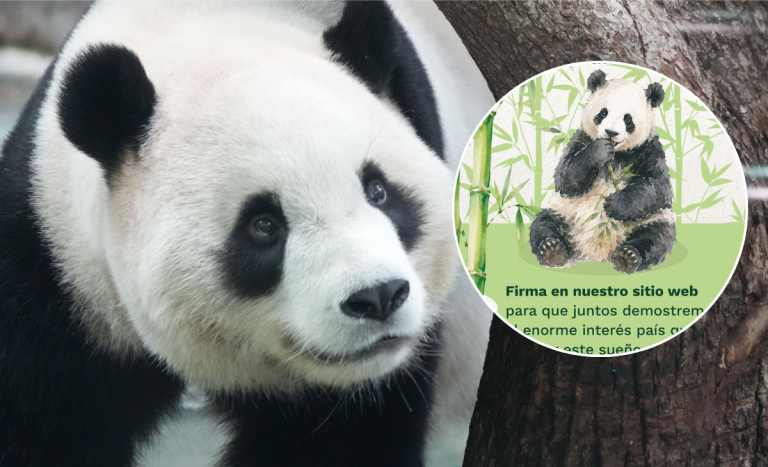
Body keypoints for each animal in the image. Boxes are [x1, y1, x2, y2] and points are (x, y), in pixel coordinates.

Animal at [529, 69, 676, 274]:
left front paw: (614, 204)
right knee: (544, 223)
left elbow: (658, 187)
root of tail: (595, 254)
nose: (611, 132)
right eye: (603, 112)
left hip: (649, 220)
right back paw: (552, 250)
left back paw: (628, 257)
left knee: (656, 236)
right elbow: (565, 177)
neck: (616, 153)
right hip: (565, 214)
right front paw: (598, 151)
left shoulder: (648, 149)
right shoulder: (582, 138)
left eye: (628, 119)